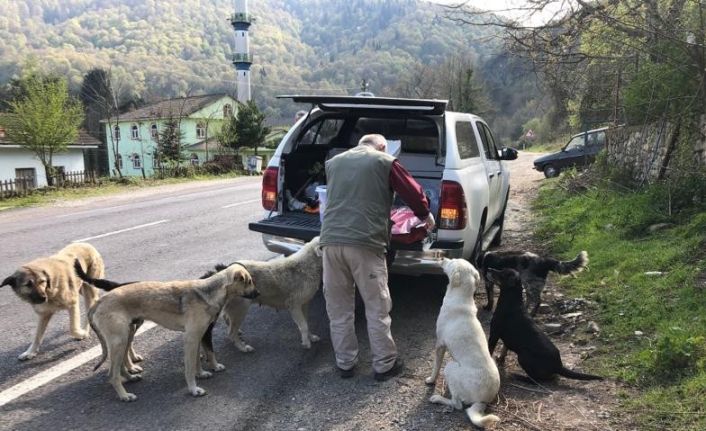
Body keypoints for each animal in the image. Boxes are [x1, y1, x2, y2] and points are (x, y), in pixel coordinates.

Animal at [82, 264, 258, 404]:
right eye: (249, 281)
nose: (258, 294)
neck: (209, 292)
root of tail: (98, 302)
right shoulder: (191, 338)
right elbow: (190, 367)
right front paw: (194, 389)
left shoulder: (198, 337)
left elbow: (197, 360)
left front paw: (201, 374)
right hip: (119, 340)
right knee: (112, 374)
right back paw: (124, 395)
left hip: (125, 336)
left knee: (119, 368)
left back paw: (130, 378)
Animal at [424, 258, 500, 430]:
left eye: (451, 261)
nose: (442, 258)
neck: (461, 296)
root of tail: (483, 400)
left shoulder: (440, 344)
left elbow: (435, 367)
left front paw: (431, 380)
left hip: (450, 367)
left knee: (457, 405)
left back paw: (438, 398)